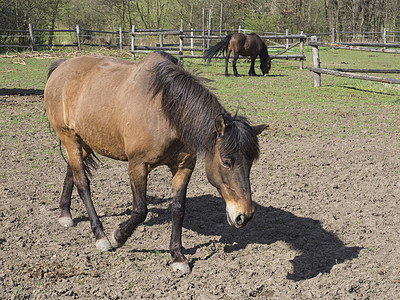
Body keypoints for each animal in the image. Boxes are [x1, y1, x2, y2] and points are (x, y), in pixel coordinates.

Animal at [43, 51, 268, 274]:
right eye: (227, 162)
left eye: (250, 163)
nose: (244, 216)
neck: (165, 112)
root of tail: (62, 66)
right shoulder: (137, 166)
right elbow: (140, 210)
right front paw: (117, 237)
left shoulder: (184, 167)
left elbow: (178, 209)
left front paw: (177, 256)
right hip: (69, 138)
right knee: (83, 183)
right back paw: (100, 236)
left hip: (86, 140)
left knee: (71, 173)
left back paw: (65, 214)